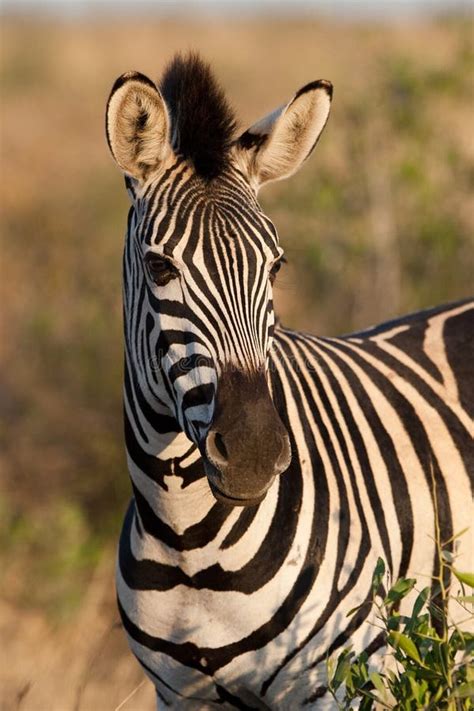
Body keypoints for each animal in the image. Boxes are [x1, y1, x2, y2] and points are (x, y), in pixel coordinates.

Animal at [105, 52, 472, 708]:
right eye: (159, 267)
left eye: (276, 266)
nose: (254, 454)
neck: (186, 536)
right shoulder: (178, 696)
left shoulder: (344, 683)